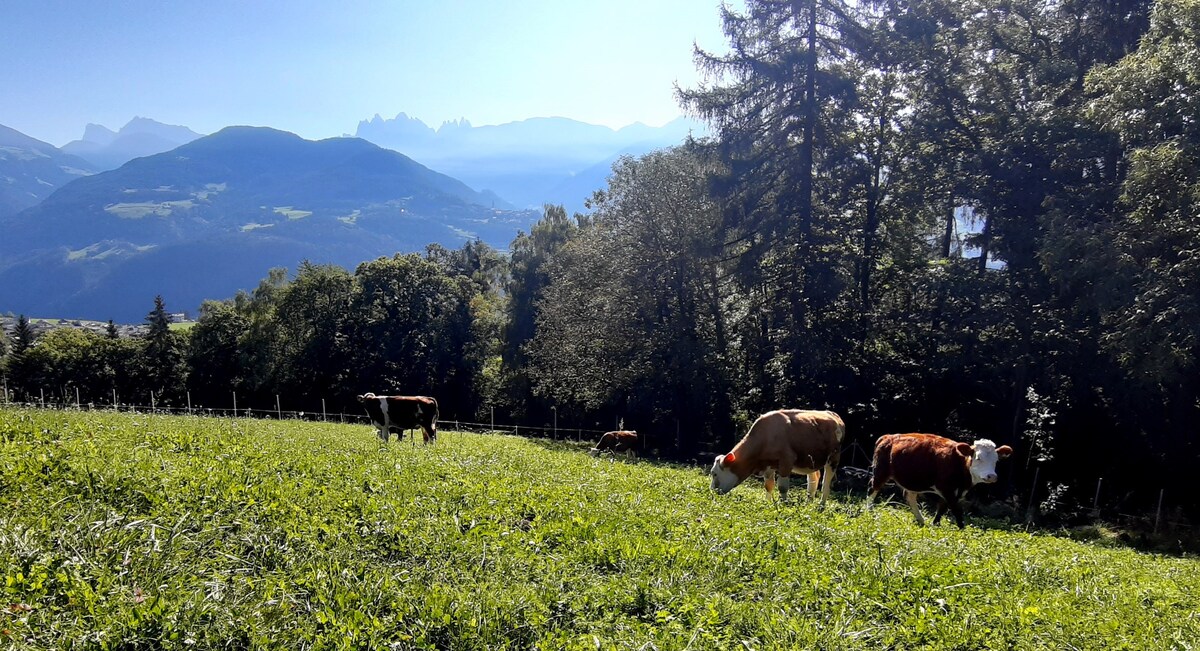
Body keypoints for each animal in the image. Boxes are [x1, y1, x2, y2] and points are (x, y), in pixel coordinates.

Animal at [700, 410, 844, 506]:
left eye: (714, 474)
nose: (712, 491)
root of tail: (832, 414)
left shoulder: (786, 461)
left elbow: (782, 487)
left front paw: (783, 504)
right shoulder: (768, 465)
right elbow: (768, 486)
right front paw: (768, 503)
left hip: (834, 458)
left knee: (826, 482)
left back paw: (821, 505)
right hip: (810, 461)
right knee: (813, 479)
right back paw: (808, 503)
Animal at [864, 434, 1012, 530]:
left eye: (996, 460)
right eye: (978, 458)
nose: (991, 476)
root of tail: (887, 436)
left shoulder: (954, 492)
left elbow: (942, 508)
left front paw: (935, 524)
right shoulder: (947, 489)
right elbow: (956, 511)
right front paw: (962, 530)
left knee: (910, 496)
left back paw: (921, 520)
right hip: (881, 471)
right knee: (873, 488)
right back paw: (868, 510)